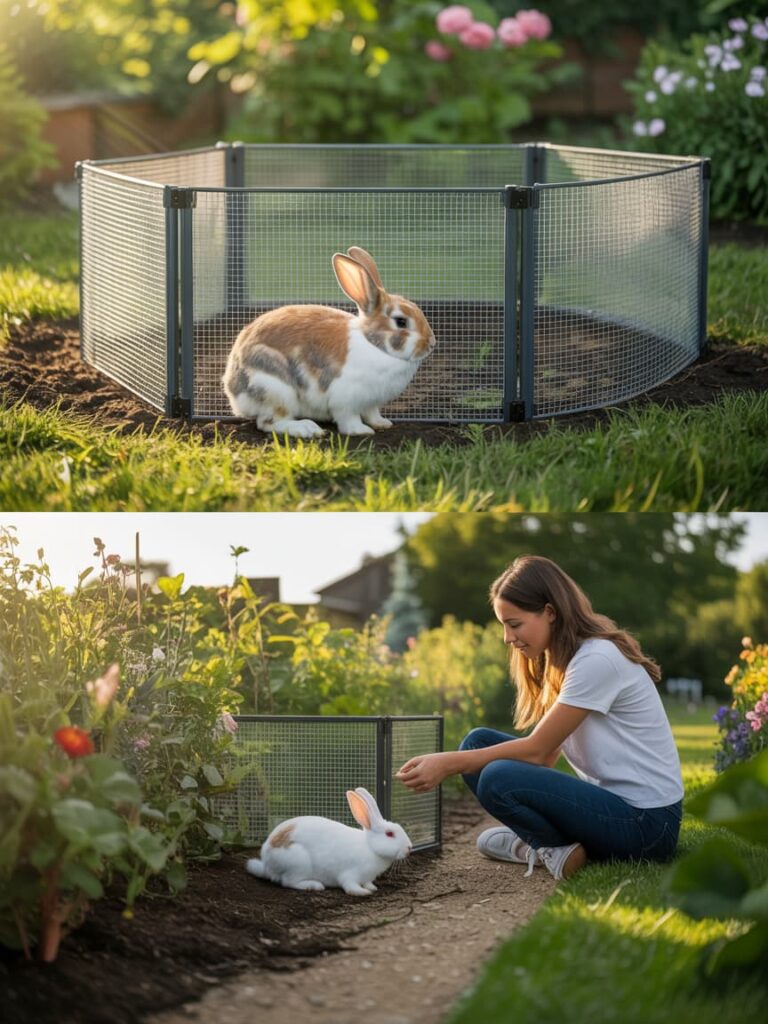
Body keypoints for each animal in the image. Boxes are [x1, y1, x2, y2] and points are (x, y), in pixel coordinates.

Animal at [222, 246, 436, 438]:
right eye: (401, 321)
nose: (432, 343)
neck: (374, 345)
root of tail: (233, 392)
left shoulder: (371, 402)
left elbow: (372, 413)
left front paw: (382, 424)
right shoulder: (346, 400)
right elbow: (349, 419)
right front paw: (361, 431)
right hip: (275, 388)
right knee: (269, 423)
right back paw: (307, 429)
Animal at [245, 786, 412, 896]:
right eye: (389, 834)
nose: (409, 848)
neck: (370, 847)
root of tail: (267, 863)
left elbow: (367, 883)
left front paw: (371, 888)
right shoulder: (350, 874)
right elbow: (350, 887)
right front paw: (363, 892)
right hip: (299, 864)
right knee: (288, 882)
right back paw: (314, 885)